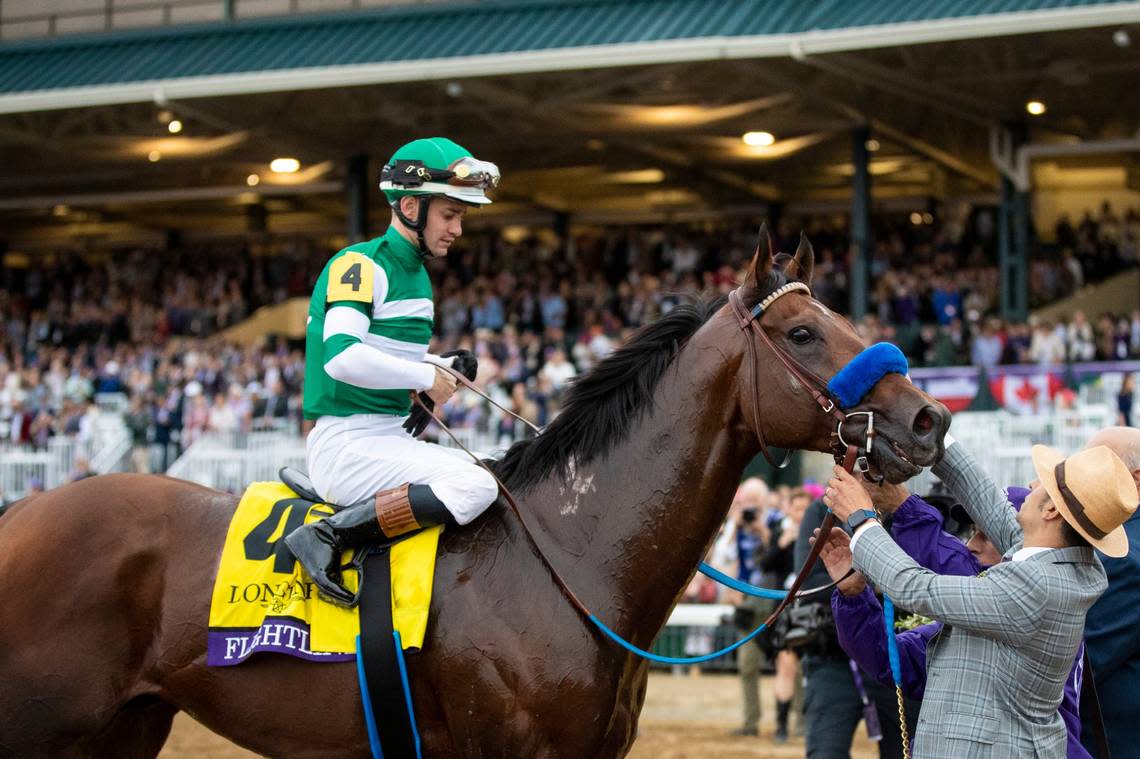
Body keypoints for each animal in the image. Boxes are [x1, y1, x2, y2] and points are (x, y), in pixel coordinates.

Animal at [0, 227, 948, 752]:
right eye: (803, 332)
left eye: (846, 317)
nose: (930, 418)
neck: (571, 556)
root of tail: (25, 512)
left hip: (123, 728)